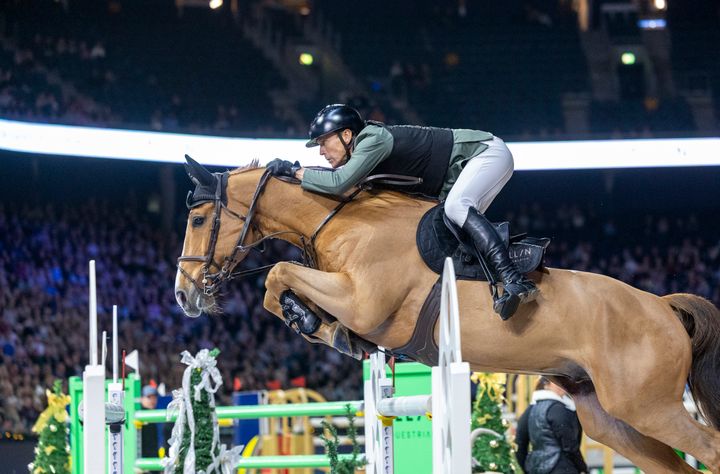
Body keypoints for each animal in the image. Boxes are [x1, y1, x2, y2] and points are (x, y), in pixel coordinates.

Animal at [174, 157, 720, 473]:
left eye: (198, 219)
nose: (183, 296)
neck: (339, 220)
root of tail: (662, 306)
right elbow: (281, 283)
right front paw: (321, 327)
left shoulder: (364, 301)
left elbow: (277, 274)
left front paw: (314, 322)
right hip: (612, 417)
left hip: (649, 407)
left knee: (709, 449)